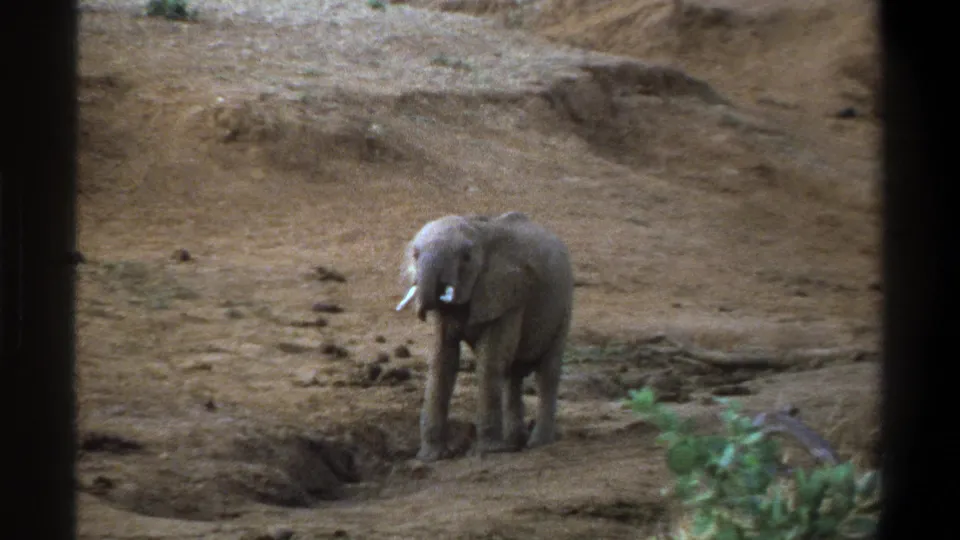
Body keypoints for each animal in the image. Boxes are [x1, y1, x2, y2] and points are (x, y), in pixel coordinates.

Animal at [396, 211, 574, 462]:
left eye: (466, 257)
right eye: (415, 255)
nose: (421, 312)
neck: (479, 231)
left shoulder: (510, 294)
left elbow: (490, 360)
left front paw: (490, 451)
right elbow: (443, 361)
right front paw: (432, 457)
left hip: (563, 307)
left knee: (547, 372)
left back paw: (537, 443)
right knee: (512, 374)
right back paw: (514, 441)